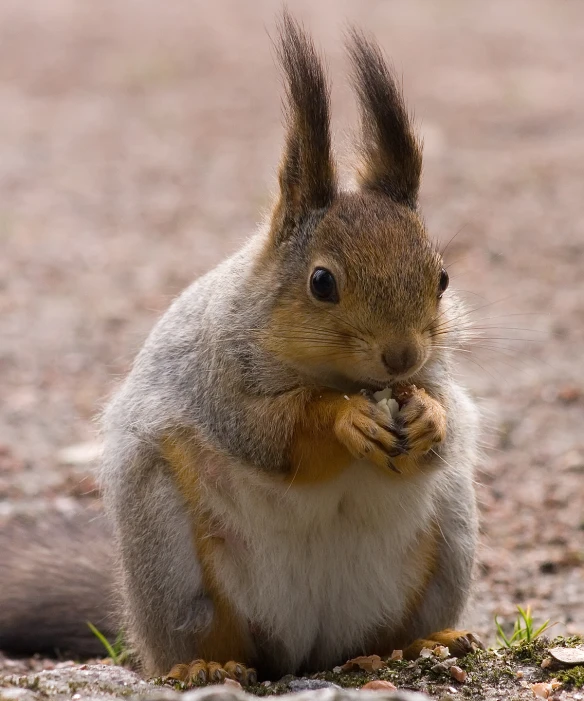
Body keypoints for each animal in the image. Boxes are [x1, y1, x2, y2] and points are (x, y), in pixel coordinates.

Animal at [0, 13, 482, 688]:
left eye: (442, 277)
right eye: (322, 282)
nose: (400, 357)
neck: (338, 374)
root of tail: (308, 650)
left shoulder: (438, 371)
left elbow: (449, 414)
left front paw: (429, 416)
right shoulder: (219, 376)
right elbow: (269, 432)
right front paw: (344, 419)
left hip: (449, 537)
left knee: (387, 632)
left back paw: (423, 644)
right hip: (170, 554)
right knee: (204, 639)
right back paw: (203, 665)